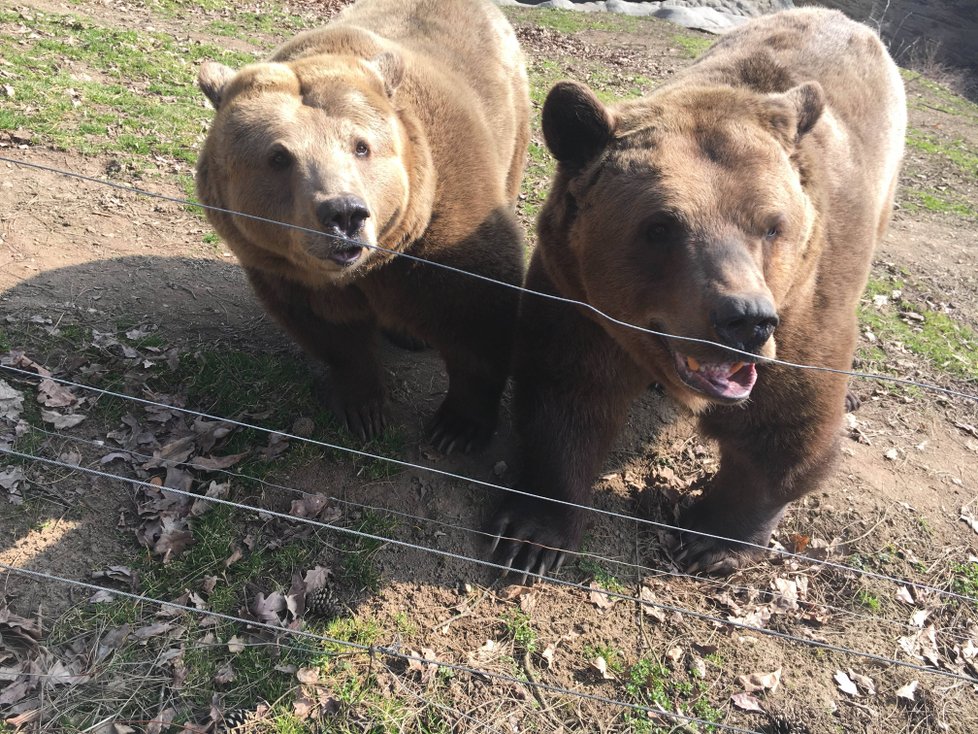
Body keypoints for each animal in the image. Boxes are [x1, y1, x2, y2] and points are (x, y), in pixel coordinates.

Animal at [193, 0, 528, 452]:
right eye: (279, 157)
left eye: (361, 146)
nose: (345, 214)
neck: (372, 264)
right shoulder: (287, 270)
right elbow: (333, 332)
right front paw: (364, 410)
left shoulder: (447, 227)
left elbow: (478, 315)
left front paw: (457, 428)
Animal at [496, 8, 908, 576]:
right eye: (661, 226)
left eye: (772, 226)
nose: (745, 320)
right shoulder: (579, 301)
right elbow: (567, 394)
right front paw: (531, 535)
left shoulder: (803, 308)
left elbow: (783, 430)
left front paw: (708, 542)